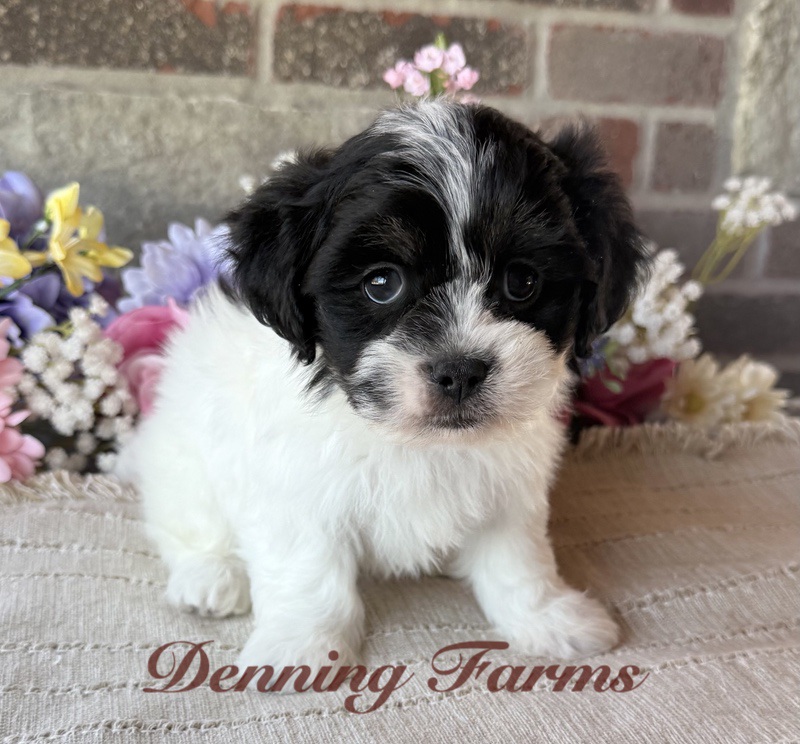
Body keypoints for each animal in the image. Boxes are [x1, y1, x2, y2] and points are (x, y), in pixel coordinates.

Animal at [123, 100, 649, 670]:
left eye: (522, 281)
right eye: (381, 283)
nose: (459, 369)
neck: (417, 442)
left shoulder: (509, 487)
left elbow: (518, 559)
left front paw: (548, 618)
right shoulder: (296, 489)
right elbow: (308, 571)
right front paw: (300, 647)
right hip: (180, 456)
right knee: (184, 517)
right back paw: (210, 577)